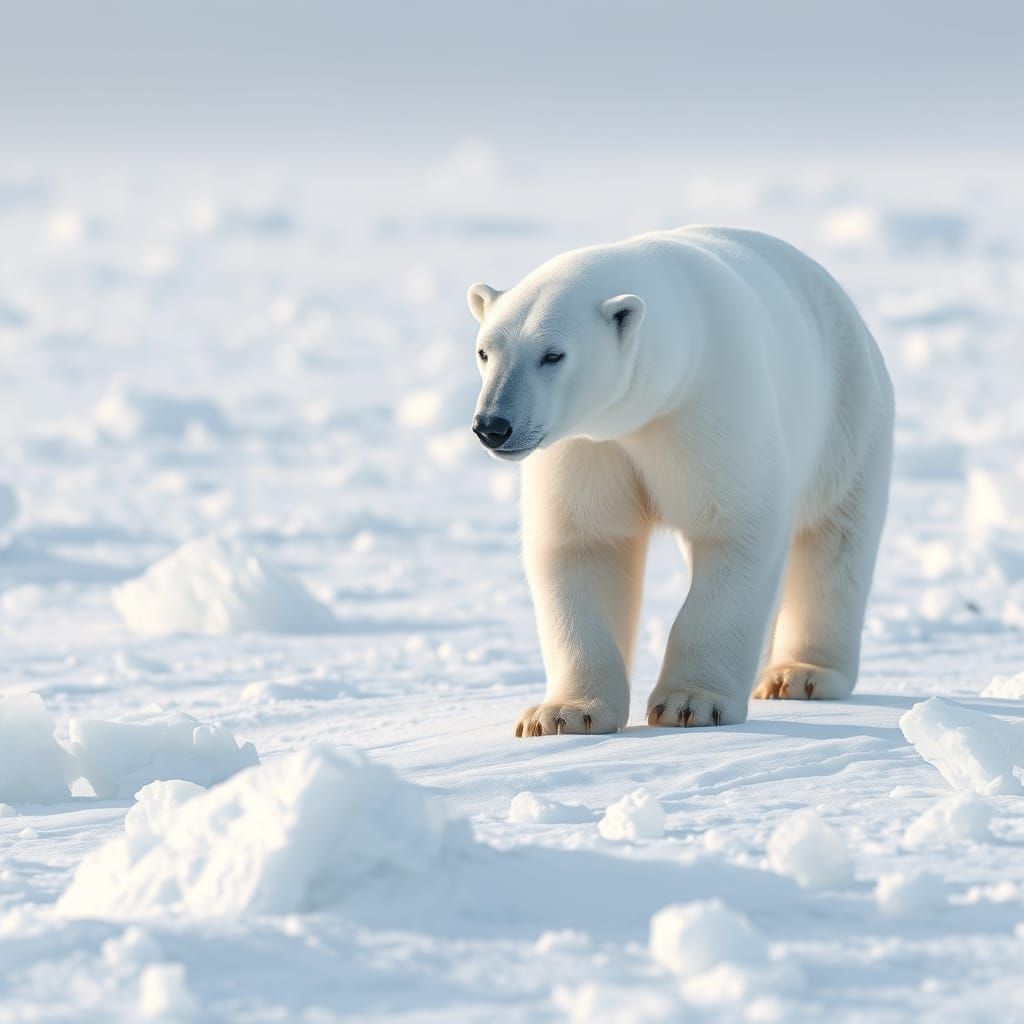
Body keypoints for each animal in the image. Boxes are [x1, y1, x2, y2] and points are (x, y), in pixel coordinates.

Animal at [467, 226, 894, 736]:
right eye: (485, 351)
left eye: (553, 355)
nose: (493, 425)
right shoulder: (588, 446)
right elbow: (584, 541)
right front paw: (563, 714)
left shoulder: (710, 410)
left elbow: (733, 530)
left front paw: (690, 704)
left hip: (846, 416)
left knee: (834, 540)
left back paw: (799, 675)